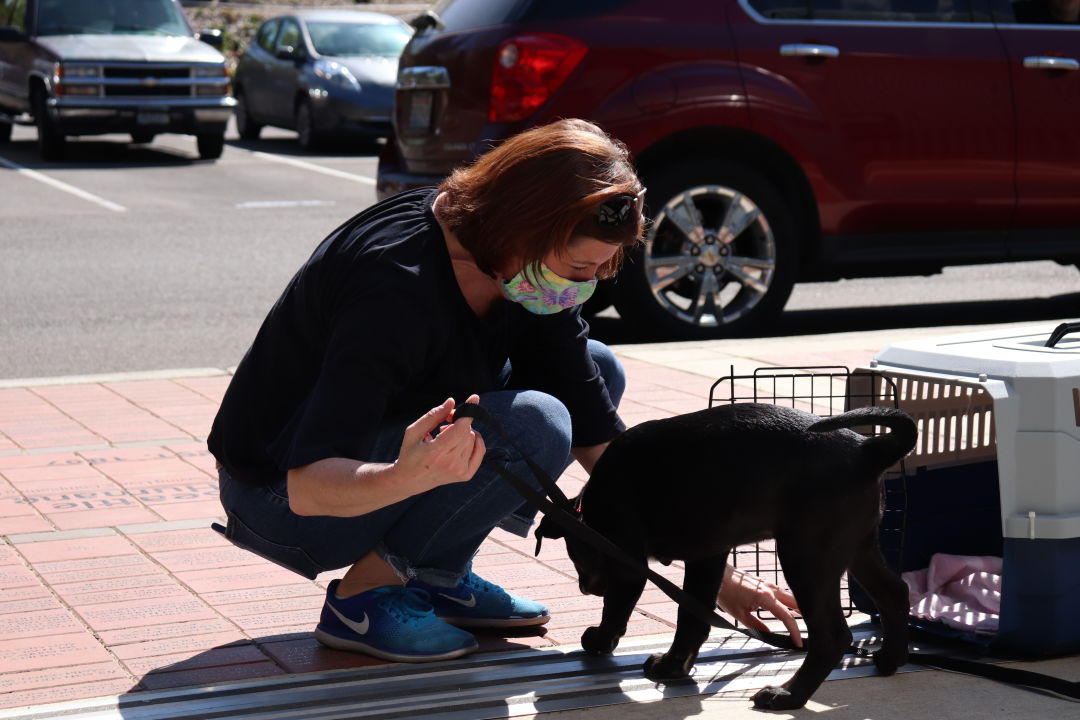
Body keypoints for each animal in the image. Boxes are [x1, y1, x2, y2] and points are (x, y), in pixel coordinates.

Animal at [535, 403, 915, 712]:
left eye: (575, 555)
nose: (585, 588)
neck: (591, 510)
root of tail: (868, 449)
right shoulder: (707, 556)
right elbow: (692, 617)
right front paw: (674, 666)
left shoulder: (628, 563)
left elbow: (616, 609)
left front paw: (600, 640)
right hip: (856, 547)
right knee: (894, 593)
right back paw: (889, 658)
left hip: (807, 556)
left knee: (833, 635)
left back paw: (788, 695)